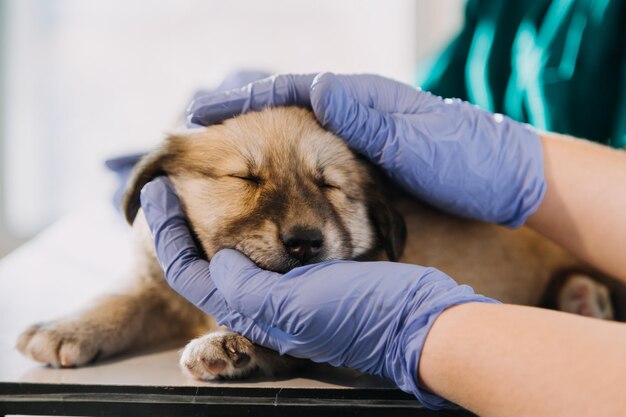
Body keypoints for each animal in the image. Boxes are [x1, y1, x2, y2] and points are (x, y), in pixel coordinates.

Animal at [14, 105, 616, 378]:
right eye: (245, 177)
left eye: (329, 185)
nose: (305, 243)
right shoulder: (158, 284)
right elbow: (121, 299)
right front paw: (65, 327)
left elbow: (274, 329)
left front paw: (228, 344)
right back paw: (581, 300)